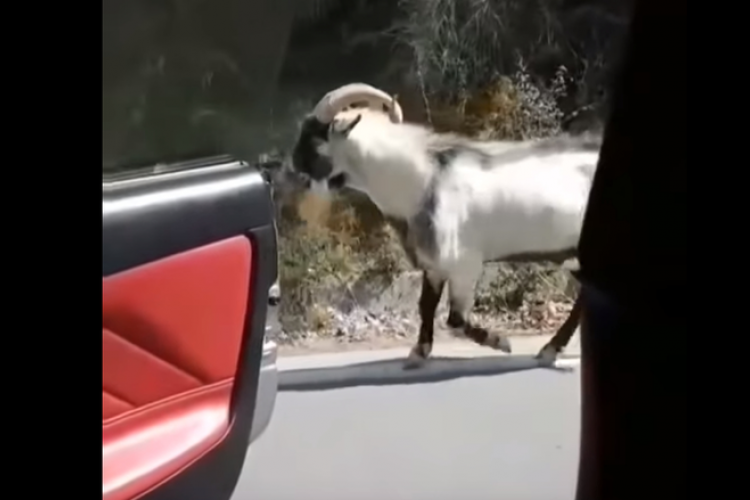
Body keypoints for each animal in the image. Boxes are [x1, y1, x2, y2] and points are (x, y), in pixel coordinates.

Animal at [291, 83, 599, 368]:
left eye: (314, 143)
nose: (293, 170)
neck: (426, 181)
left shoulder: (465, 263)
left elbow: (455, 320)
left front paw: (502, 342)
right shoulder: (434, 265)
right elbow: (426, 307)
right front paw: (418, 352)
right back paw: (550, 349)